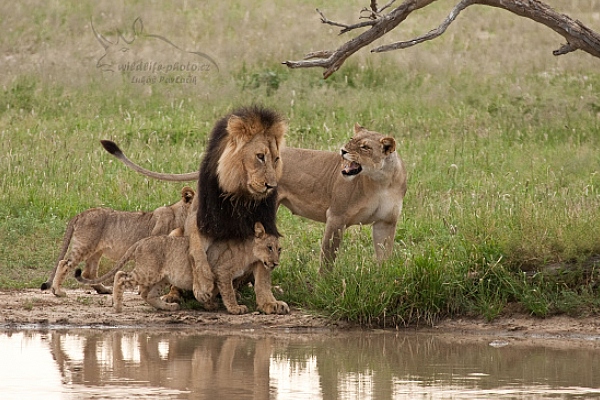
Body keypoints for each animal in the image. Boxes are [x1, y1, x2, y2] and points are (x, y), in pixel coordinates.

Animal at [42, 185, 197, 296]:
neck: (181, 216)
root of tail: (81, 214)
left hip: (96, 250)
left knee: (88, 273)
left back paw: (103, 290)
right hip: (84, 245)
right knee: (64, 263)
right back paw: (58, 291)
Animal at [74, 222, 288, 316]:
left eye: (279, 249)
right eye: (269, 247)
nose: (275, 263)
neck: (249, 253)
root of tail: (142, 241)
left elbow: (213, 290)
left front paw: (209, 304)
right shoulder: (222, 272)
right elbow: (227, 292)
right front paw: (235, 308)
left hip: (161, 278)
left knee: (147, 294)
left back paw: (168, 307)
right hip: (148, 272)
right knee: (121, 276)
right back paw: (118, 306)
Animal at [101, 123, 408, 270]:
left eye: (365, 147)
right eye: (351, 142)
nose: (343, 151)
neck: (379, 180)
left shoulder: (386, 223)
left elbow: (384, 253)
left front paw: (382, 278)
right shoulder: (337, 217)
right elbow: (328, 256)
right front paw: (325, 282)